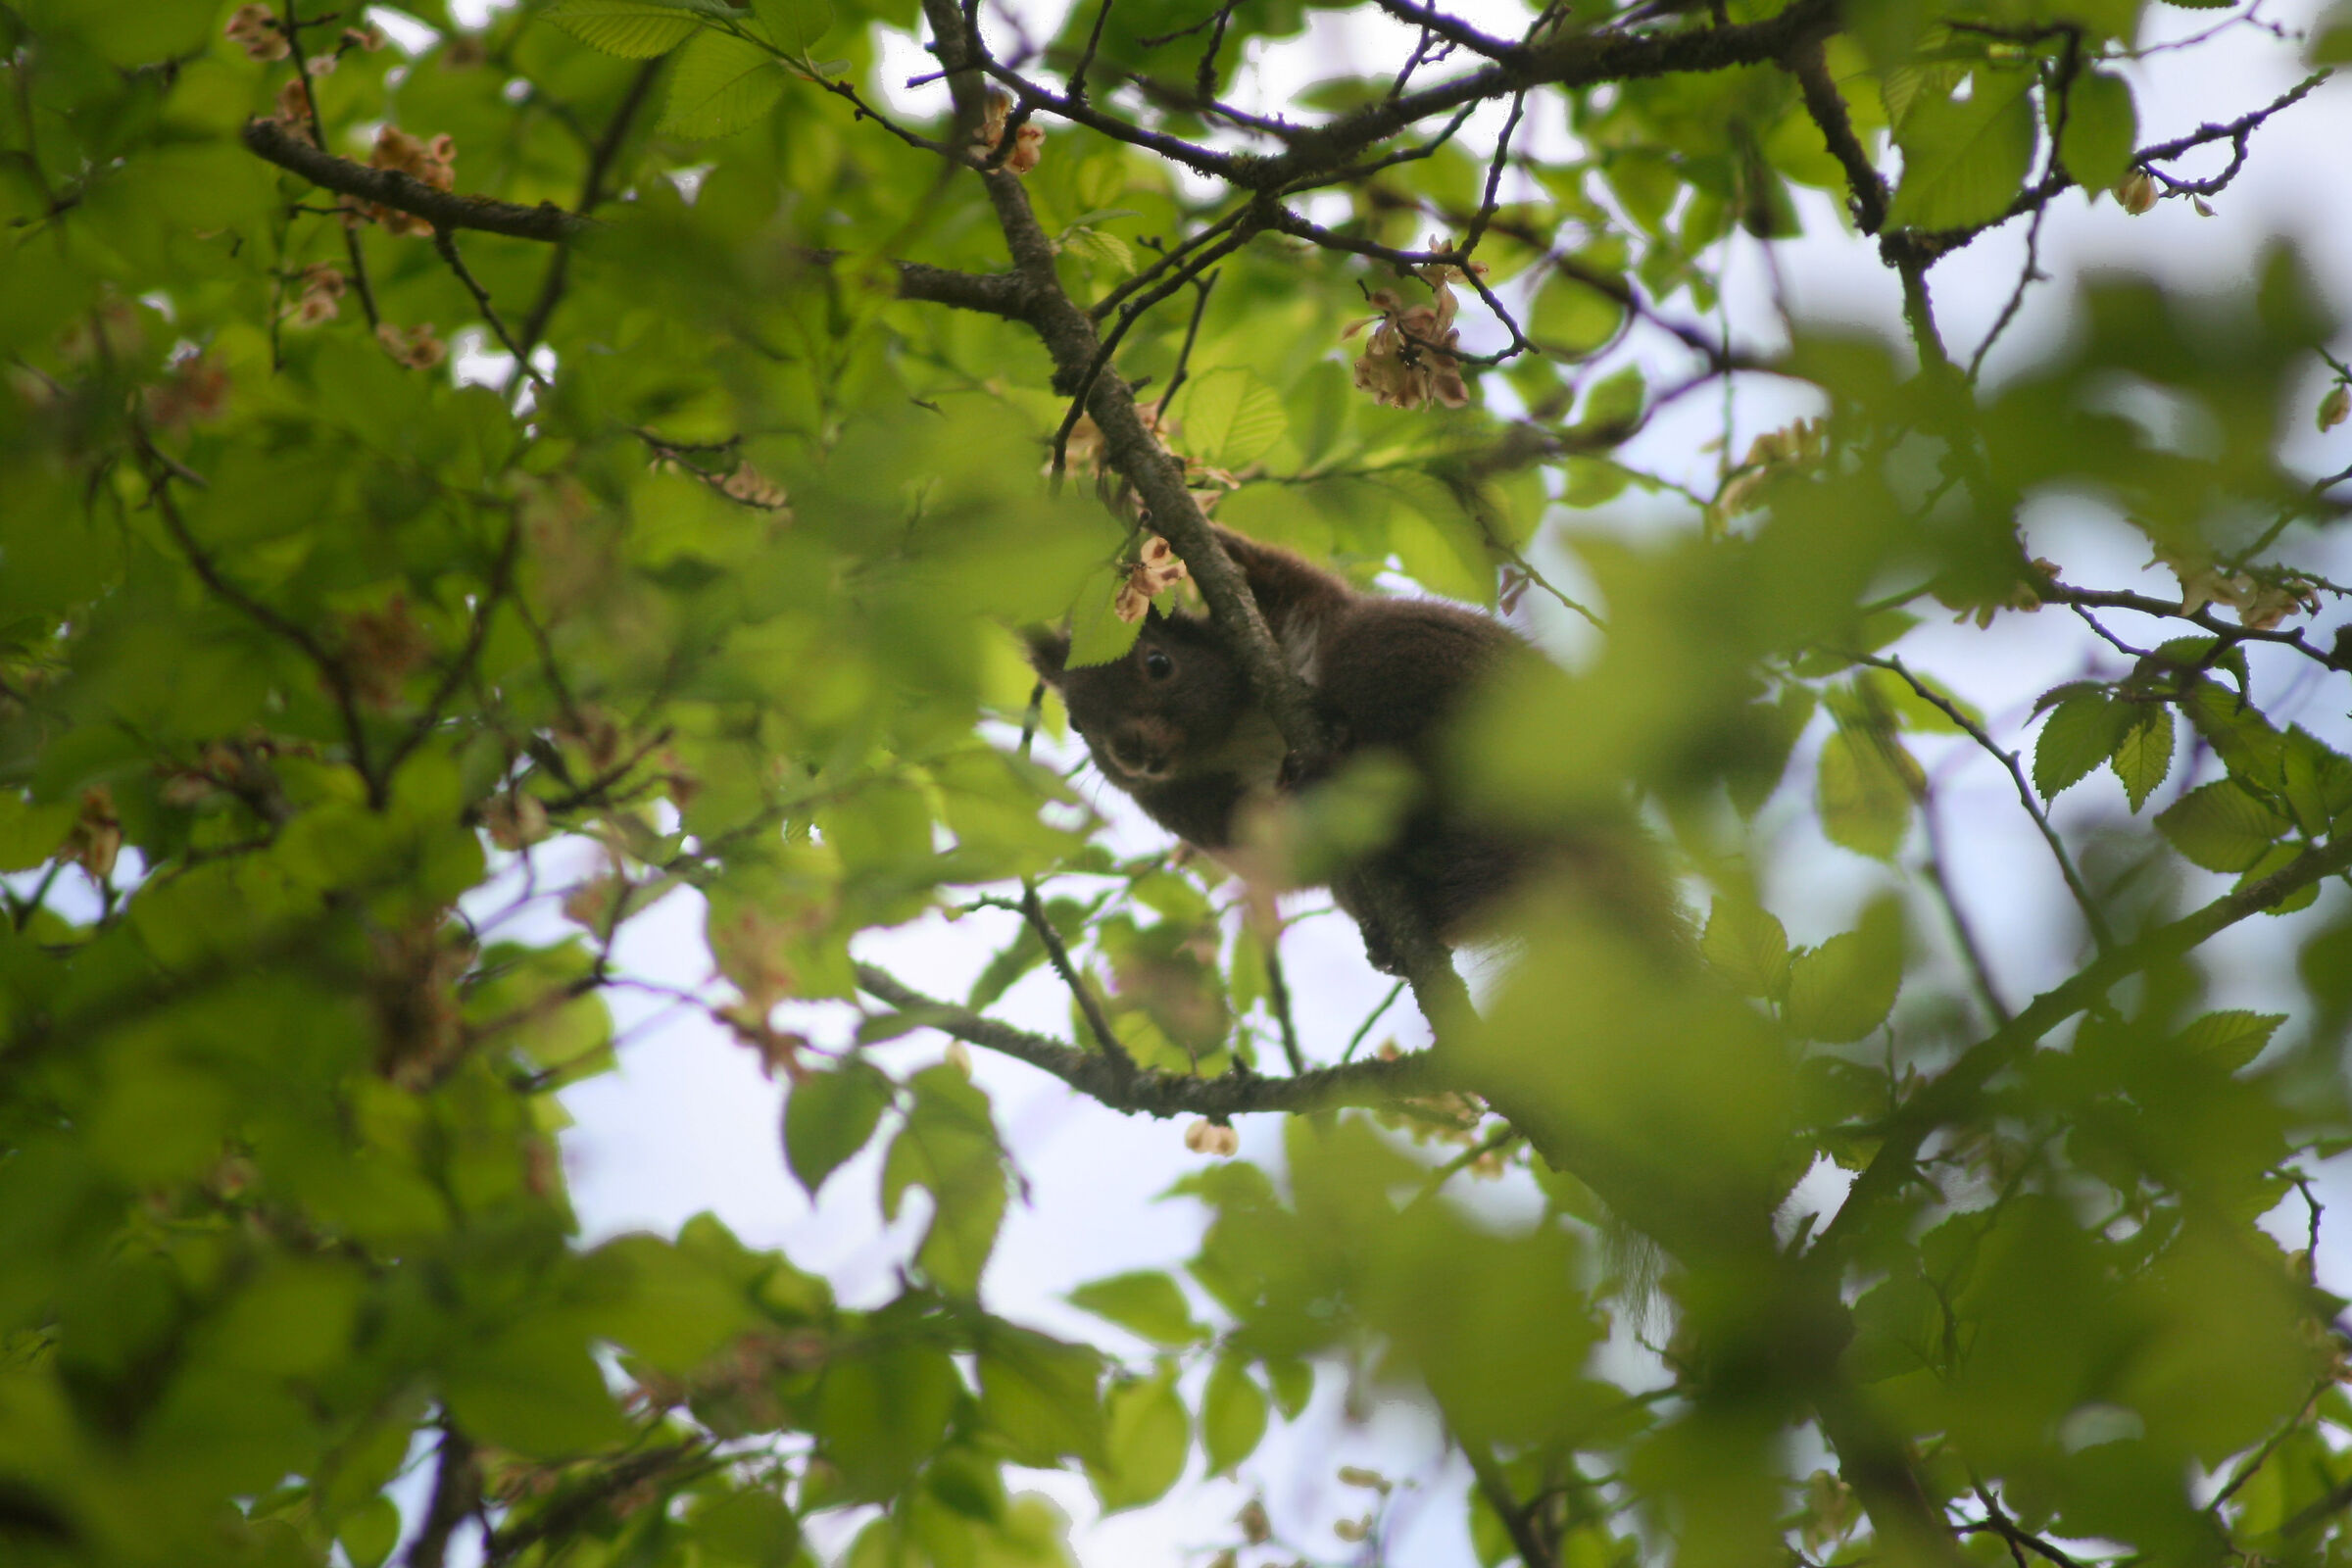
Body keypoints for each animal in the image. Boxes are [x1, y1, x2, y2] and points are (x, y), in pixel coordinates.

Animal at [1026, 525, 1539, 971]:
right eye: (1076, 722)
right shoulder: (1191, 806)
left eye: (1158, 663)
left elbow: (1279, 577)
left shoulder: (1296, 612)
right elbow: (1278, 854)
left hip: (1413, 657)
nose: (1128, 752)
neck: (1232, 732)